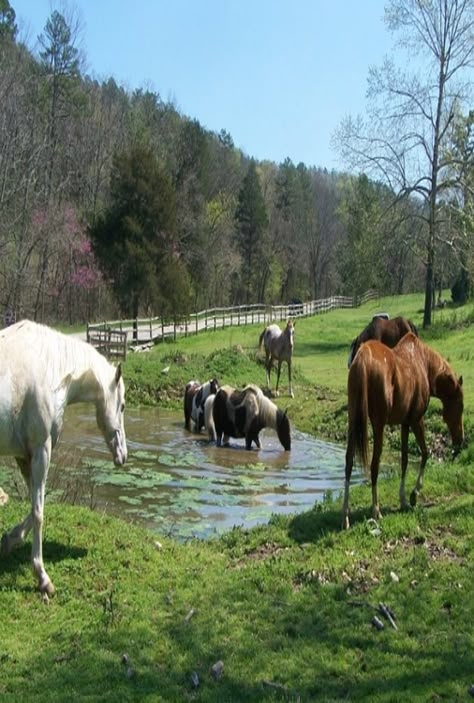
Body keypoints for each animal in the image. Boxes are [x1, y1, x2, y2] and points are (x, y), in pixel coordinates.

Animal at [342, 334, 464, 528]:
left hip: (353, 421)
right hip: (378, 425)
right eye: (460, 406)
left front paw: (403, 499)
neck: (423, 364)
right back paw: (376, 510)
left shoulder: (405, 424)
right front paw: (414, 494)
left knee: (348, 462)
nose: (461, 439)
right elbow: (425, 453)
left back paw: (345, 516)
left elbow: (405, 460)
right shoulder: (416, 420)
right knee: (374, 464)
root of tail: (363, 358)